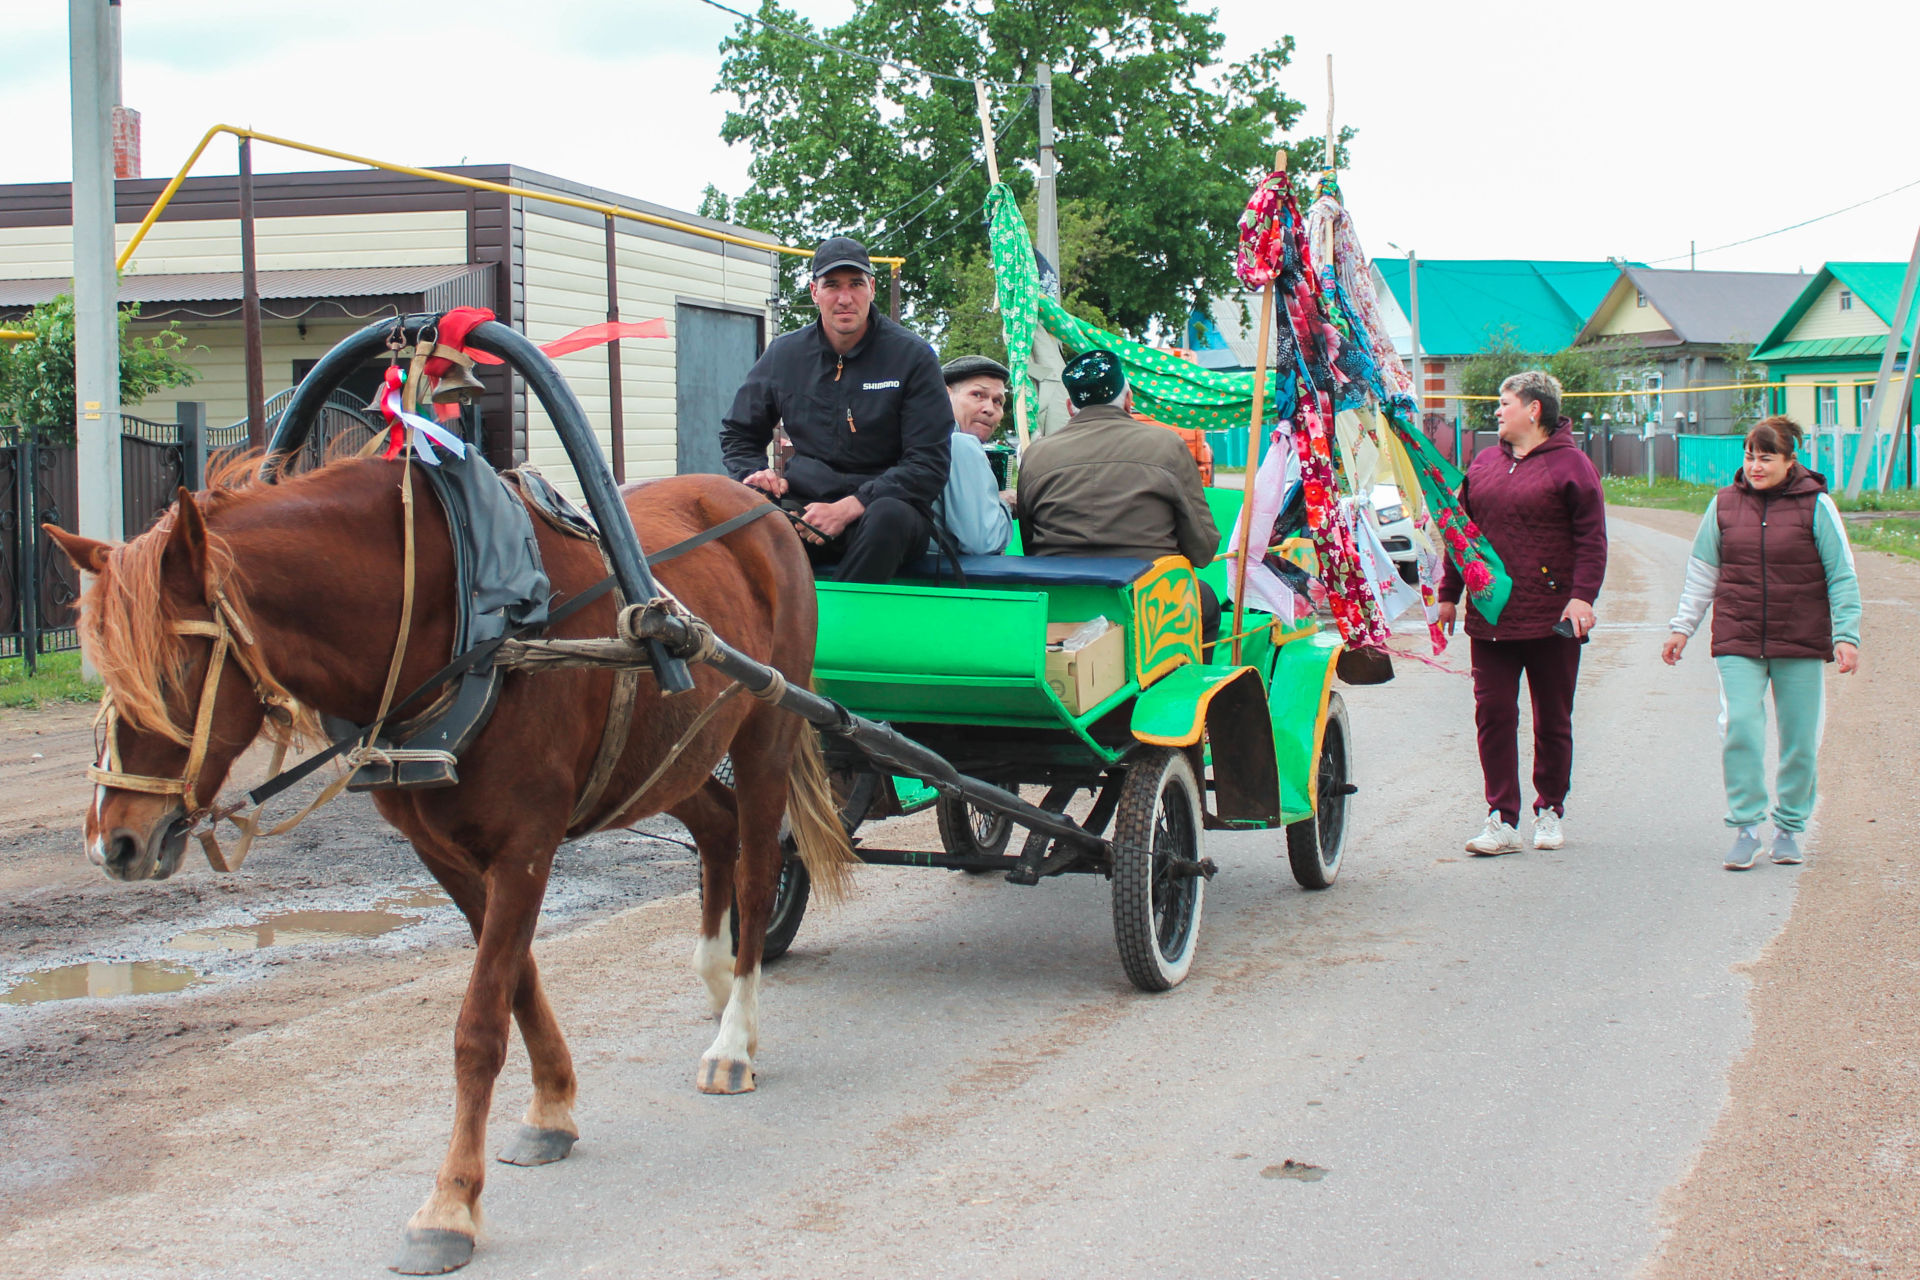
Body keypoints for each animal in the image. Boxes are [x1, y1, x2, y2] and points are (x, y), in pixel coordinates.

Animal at [45, 454, 852, 1274]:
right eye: (103, 667)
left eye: (176, 667)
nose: (114, 843)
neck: (468, 616)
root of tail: (758, 505)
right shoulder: (444, 854)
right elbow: (517, 986)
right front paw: (552, 1105)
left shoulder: (526, 847)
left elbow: (479, 1026)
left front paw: (449, 1206)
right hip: (670, 755)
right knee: (717, 831)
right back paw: (716, 981)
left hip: (765, 731)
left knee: (757, 870)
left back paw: (734, 1040)